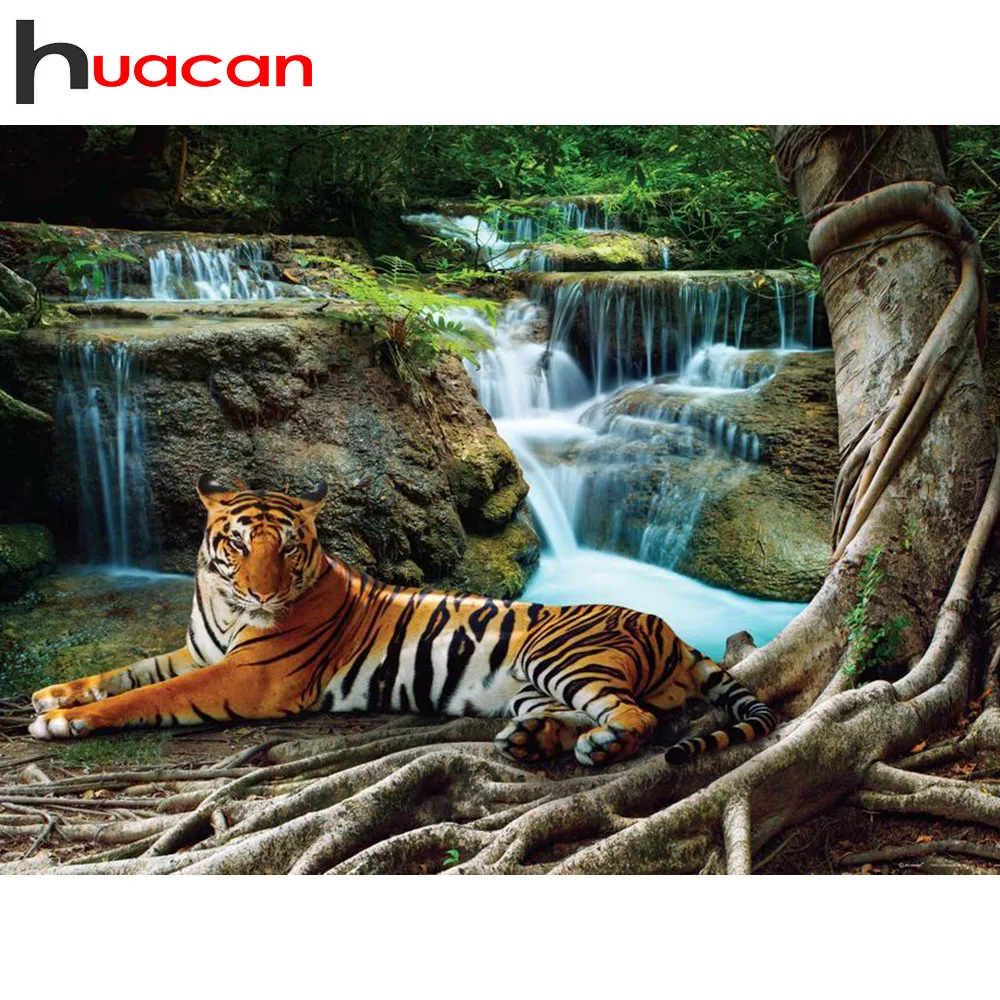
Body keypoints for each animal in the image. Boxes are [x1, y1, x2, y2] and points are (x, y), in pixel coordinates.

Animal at [29, 475, 778, 767]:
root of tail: (671, 629)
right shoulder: (199, 652)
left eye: (289, 548)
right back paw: (531, 740)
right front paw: (53, 695)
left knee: (636, 718)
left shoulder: (247, 678)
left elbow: (148, 695)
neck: (222, 603)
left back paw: (595, 746)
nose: (264, 593)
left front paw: (66, 721)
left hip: (560, 657)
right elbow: (129, 671)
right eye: (237, 545)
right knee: (582, 714)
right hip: (534, 685)